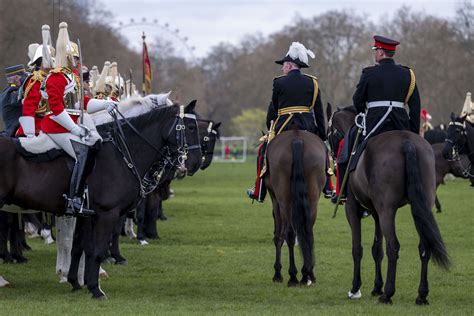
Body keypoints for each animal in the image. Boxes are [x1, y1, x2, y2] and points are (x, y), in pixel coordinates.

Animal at [0, 99, 202, 298]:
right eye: (191, 127)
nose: (195, 163)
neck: (121, 154)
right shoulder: (107, 214)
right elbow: (97, 251)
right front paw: (96, 289)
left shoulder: (86, 215)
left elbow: (80, 248)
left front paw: (77, 282)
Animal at [264, 128, 328, 286]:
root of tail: (296, 140)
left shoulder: (275, 200)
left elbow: (278, 235)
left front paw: (277, 273)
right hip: (312, 199)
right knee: (308, 232)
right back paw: (307, 274)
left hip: (284, 200)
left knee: (289, 233)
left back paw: (293, 276)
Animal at [328, 105, 450, 304]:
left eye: (329, 131)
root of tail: (407, 142)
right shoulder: (377, 213)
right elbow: (377, 249)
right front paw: (376, 286)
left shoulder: (353, 210)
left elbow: (357, 248)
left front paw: (356, 288)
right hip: (420, 206)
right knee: (424, 246)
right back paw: (421, 294)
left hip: (387, 211)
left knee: (393, 246)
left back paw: (388, 293)